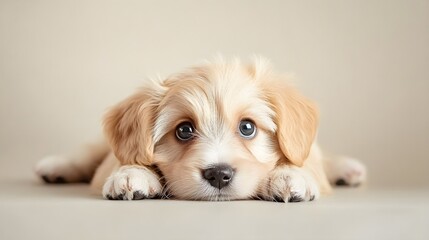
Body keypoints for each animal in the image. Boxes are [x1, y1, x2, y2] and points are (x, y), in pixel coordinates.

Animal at [35, 57, 366, 202]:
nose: (218, 175)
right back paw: (54, 167)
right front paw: (131, 174)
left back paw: (348, 169)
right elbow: (127, 159)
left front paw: (289, 176)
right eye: (183, 130)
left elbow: (303, 162)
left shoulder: (306, 153)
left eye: (248, 127)